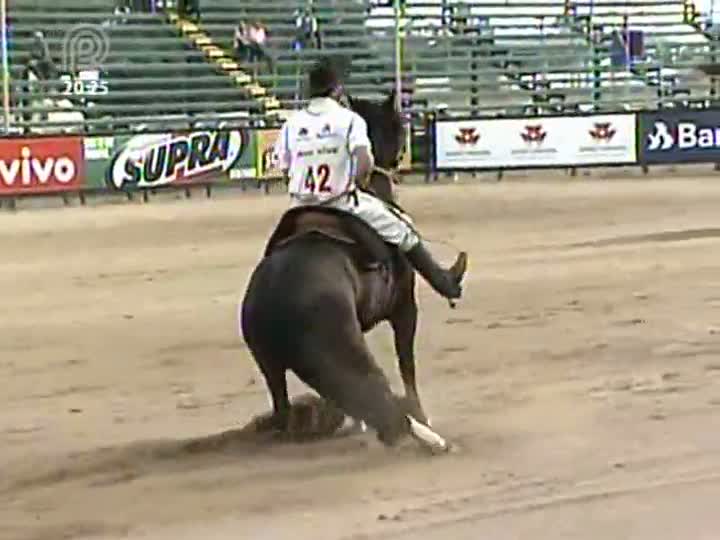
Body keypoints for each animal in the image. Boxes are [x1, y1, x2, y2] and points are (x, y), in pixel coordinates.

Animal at [239, 92, 448, 452]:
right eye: (397, 126)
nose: (400, 159)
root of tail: (272, 298)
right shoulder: (405, 308)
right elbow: (407, 364)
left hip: (274, 364)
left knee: (288, 409)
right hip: (342, 352)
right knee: (378, 398)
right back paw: (428, 438)